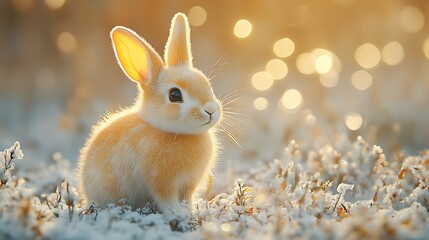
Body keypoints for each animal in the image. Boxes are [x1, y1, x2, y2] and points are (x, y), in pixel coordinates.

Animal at [77, 12, 222, 216]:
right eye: (175, 95)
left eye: (207, 83)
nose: (210, 110)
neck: (174, 133)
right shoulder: (161, 181)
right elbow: (166, 199)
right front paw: (179, 213)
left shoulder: (188, 185)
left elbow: (186, 197)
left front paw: (189, 211)